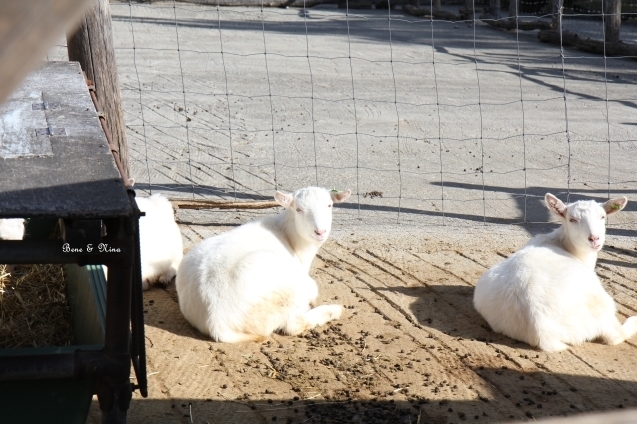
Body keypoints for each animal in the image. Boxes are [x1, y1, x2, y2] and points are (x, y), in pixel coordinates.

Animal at [472, 192, 632, 352]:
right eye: (572, 219)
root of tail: (542, 330)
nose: (594, 239)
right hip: (600, 305)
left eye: (602, 216)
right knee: (616, 335)